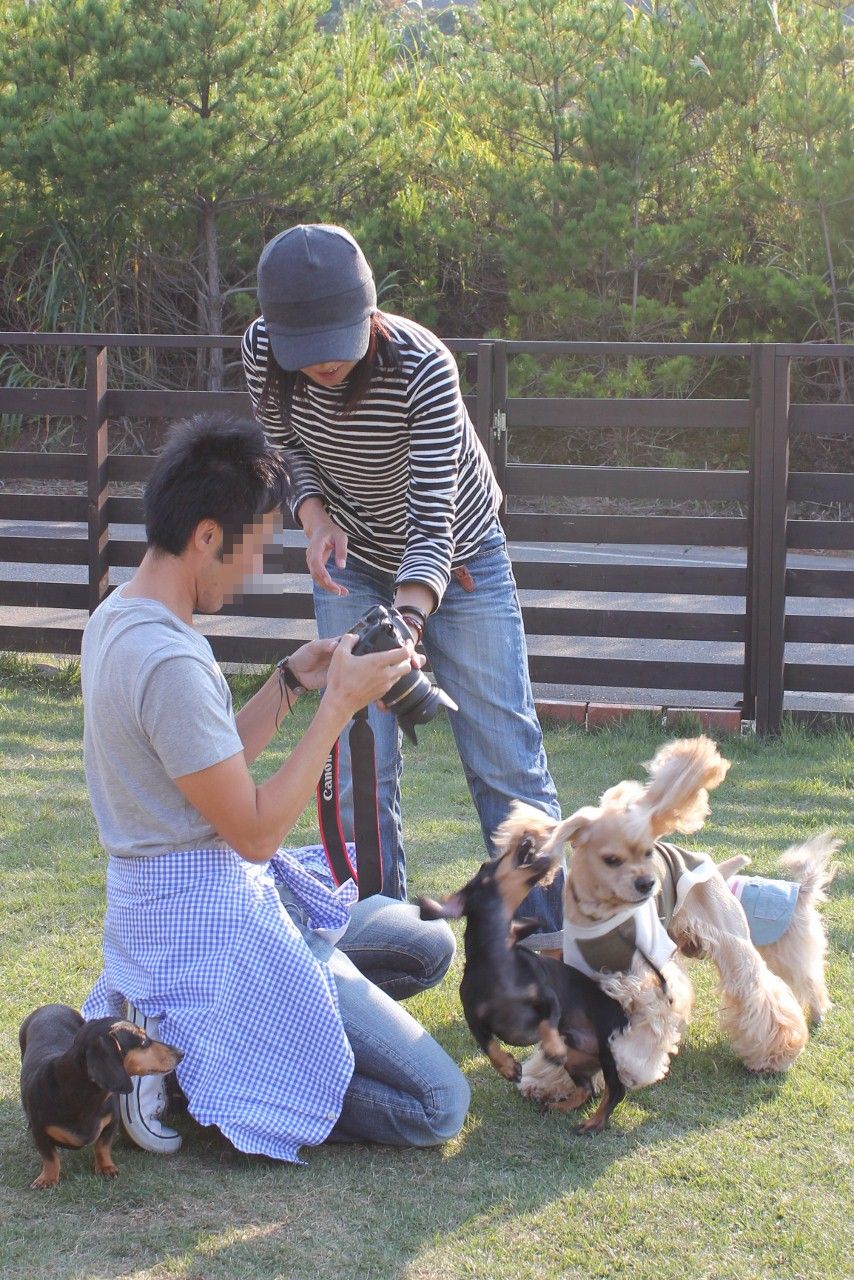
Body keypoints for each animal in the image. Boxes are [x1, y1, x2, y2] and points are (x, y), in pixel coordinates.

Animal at [20, 1003, 183, 1189]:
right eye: (144, 1042)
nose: (181, 1052)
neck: (84, 1095)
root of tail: (52, 1005)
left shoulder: (111, 1122)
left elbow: (102, 1147)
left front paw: (106, 1167)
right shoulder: (40, 1132)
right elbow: (50, 1157)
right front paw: (47, 1179)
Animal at [417, 831, 634, 1133]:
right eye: (488, 865)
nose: (527, 838)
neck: (498, 962)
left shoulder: (548, 998)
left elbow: (547, 1023)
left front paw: (552, 1047)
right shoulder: (474, 1017)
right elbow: (488, 1046)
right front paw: (508, 1067)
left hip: (607, 1045)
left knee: (615, 1090)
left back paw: (594, 1122)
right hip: (578, 1059)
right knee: (588, 1088)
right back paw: (559, 1106)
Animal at [502, 737, 838, 1092]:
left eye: (648, 852)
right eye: (611, 860)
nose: (648, 884)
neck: (603, 917)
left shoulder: (653, 981)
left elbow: (648, 1024)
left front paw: (632, 1066)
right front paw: (550, 1081)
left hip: (734, 940)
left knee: (760, 988)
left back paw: (776, 1054)